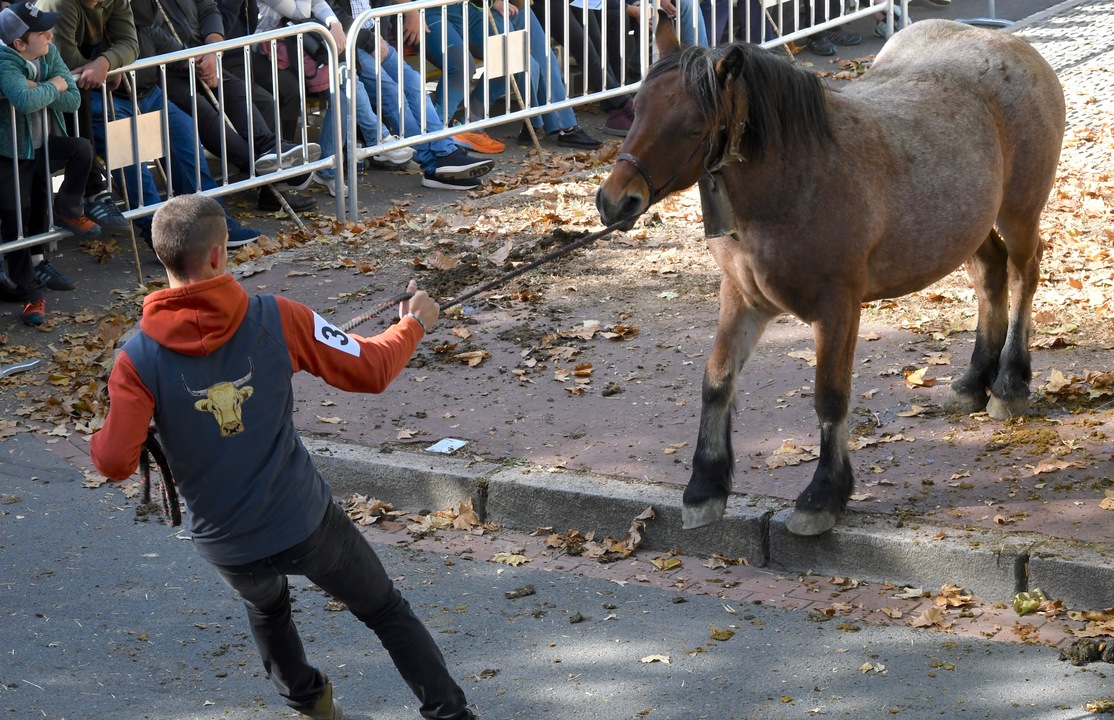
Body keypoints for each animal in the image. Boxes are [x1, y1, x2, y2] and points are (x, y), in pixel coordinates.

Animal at [596, 17, 1065, 536]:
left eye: (692, 127)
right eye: (636, 109)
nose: (614, 201)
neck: (795, 181)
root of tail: (1013, 45)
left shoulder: (838, 308)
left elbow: (830, 397)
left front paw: (822, 496)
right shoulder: (741, 297)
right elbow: (716, 380)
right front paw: (705, 488)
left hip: (1019, 212)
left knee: (1023, 274)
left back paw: (1009, 384)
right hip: (969, 226)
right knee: (990, 275)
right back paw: (972, 381)